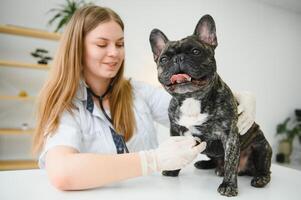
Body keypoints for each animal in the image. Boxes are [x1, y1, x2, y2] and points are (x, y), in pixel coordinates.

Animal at [149, 14, 270, 197]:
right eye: (164, 59)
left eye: (195, 51)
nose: (178, 59)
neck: (192, 98)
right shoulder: (175, 130)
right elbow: (176, 151)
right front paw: (173, 170)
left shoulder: (230, 135)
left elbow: (231, 162)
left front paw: (228, 186)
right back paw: (207, 165)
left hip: (261, 147)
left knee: (263, 169)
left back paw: (259, 178)